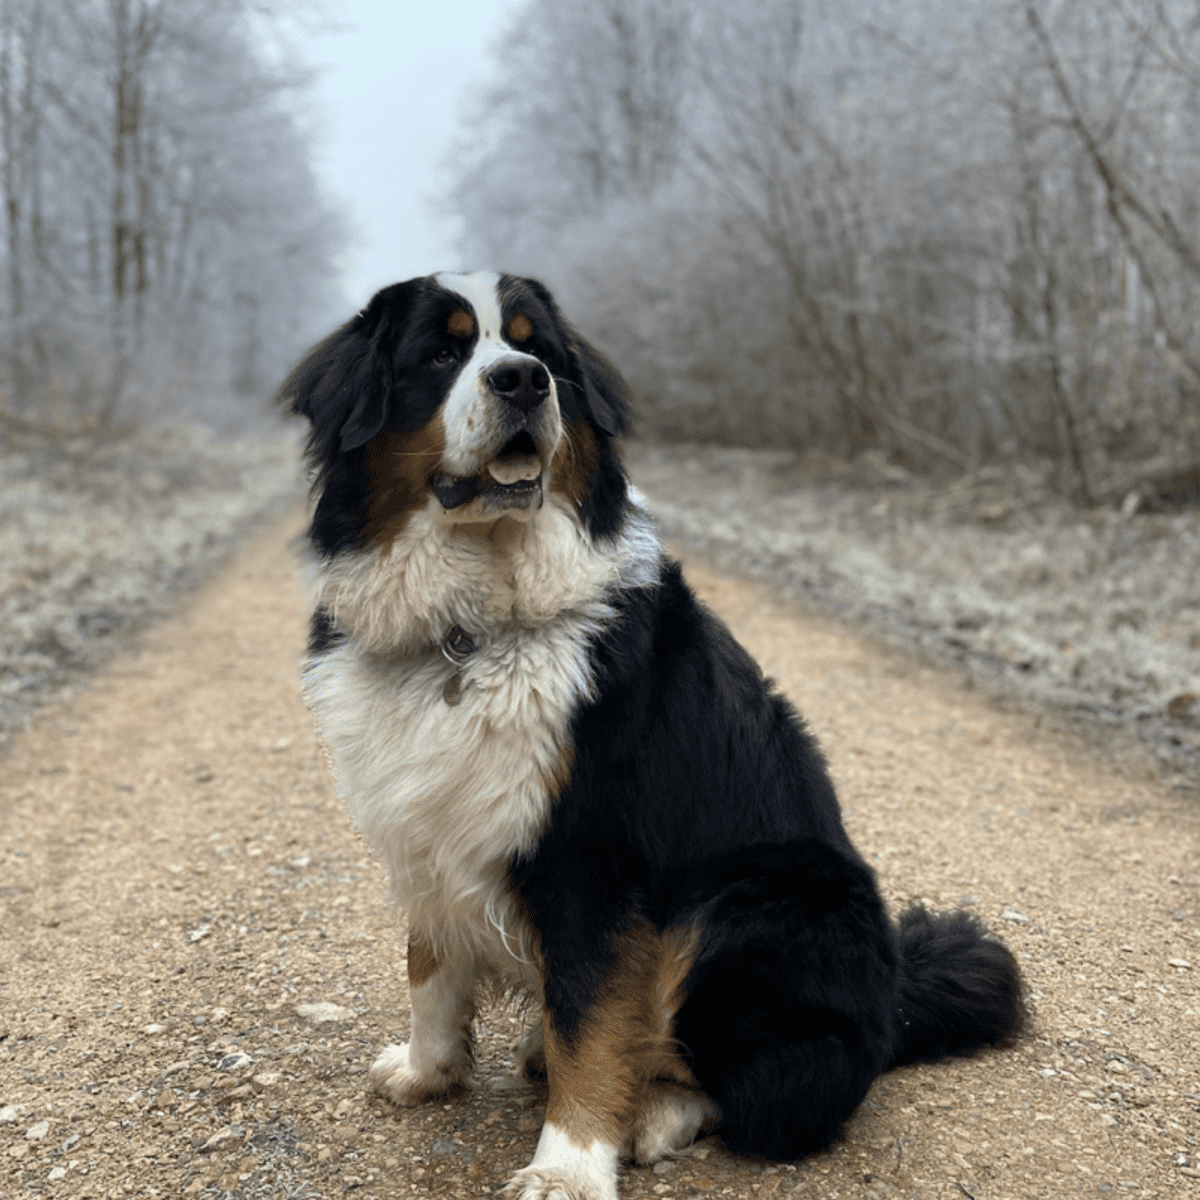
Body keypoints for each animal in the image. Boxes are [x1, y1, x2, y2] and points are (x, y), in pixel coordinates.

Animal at [278, 272, 1022, 1200]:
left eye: (540, 351)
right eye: (441, 354)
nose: (523, 382)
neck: (472, 626)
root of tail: (893, 1007)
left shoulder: (593, 860)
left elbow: (591, 1025)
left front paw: (567, 1166)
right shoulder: (426, 824)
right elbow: (431, 967)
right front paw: (427, 1071)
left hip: (749, 900)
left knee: (768, 1088)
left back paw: (653, 1110)